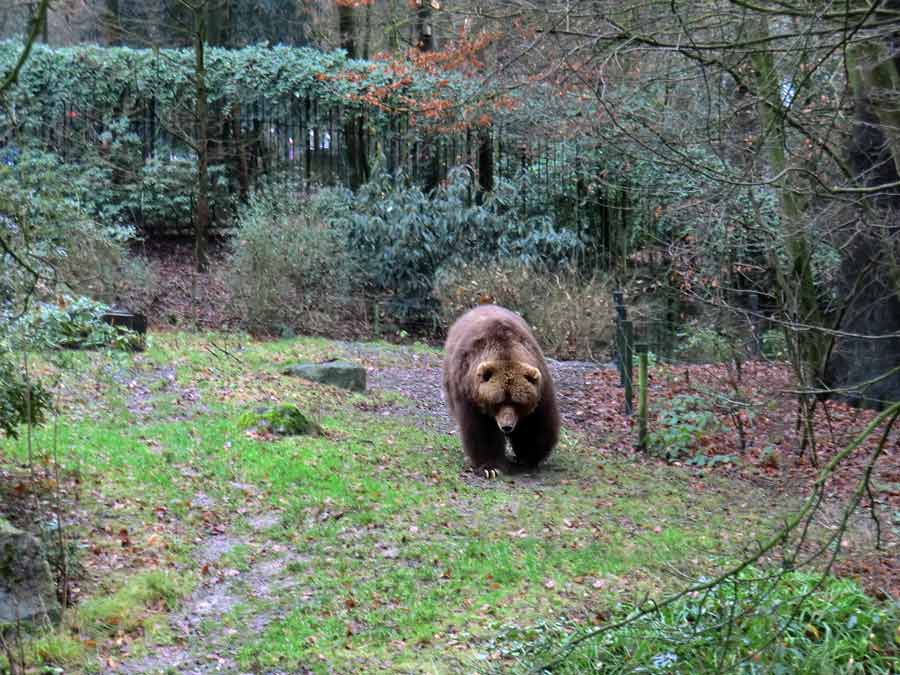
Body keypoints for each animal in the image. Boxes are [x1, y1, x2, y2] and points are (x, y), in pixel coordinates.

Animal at [442, 304, 560, 478]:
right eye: (497, 402)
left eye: (518, 403)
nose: (507, 426)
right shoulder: (469, 394)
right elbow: (481, 431)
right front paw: (490, 467)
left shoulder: (540, 387)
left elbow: (535, 424)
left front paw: (529, 457)